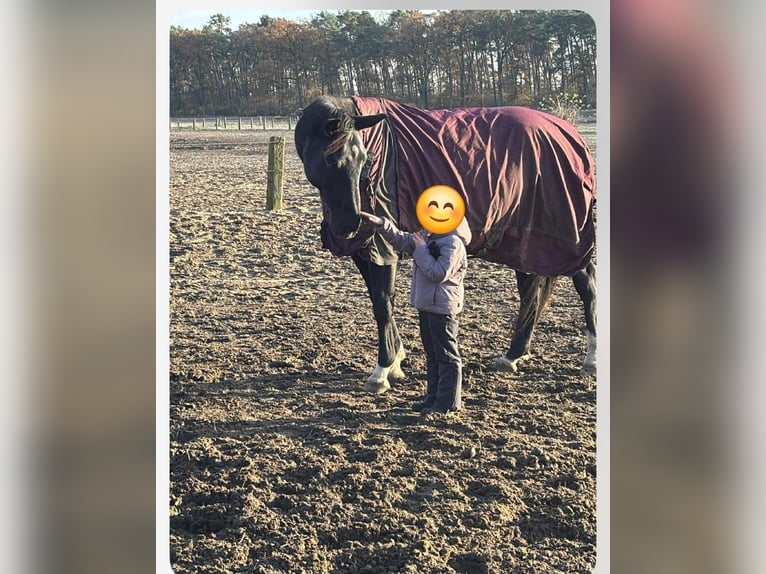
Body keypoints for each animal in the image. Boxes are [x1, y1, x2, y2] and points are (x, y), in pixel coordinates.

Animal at [294, 95, 596, 393]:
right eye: (334, 160)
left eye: (363, 160)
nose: (350, 224)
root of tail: (569, 133)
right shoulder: (364, 251)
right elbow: (379, 302)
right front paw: (397, 361)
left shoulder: (382, 249)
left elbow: (382, 303)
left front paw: (382, 371)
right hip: (525, 243)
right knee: (529, 295)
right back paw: (512, 356)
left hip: (568, 238)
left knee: (586, 286)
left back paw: (590, 358)